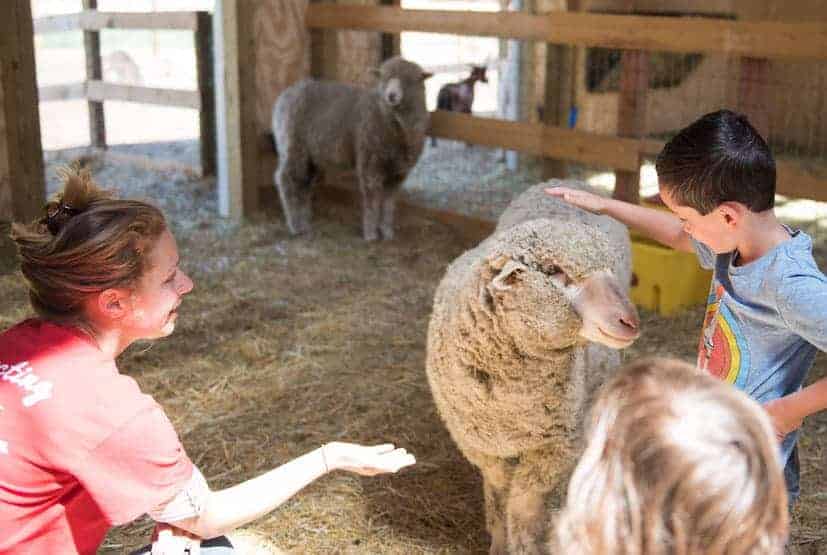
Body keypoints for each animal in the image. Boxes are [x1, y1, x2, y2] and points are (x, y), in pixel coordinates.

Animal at [272, 56, 434, 241]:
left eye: (409, 80)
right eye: (383, 78)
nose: (391, 95)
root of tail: (287, 93)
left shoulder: (398, 172)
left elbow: (388, 202)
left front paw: (387, 231)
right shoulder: (370, 161)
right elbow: (372, 199)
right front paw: (370, 234)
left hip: (310, 155)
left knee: (303, 183)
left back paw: (305, 222)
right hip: (293, 145)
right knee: (286, 179)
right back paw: (295, 226)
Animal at [426, 180, 640, 552]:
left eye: (609, 272)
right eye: (555, 272)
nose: (630, 322)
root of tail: (571, 182)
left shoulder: (554, 449)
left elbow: (523, 504)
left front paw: (523, 544)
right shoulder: (480, 445)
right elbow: (500, 491)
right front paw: (498, 540)